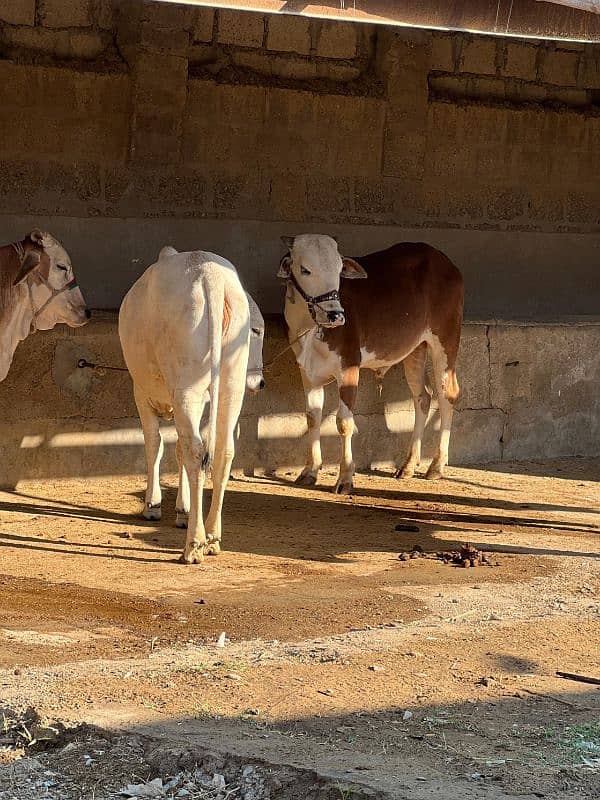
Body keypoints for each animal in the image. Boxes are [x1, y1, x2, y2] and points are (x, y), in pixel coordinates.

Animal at [278, 233, 466, 494]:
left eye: (339, 270)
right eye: (305, 269)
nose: (336, 315)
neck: (309, 327)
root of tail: (444, 261)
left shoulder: (349, 365)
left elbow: (344, 423)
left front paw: (345, 478)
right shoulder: (307, 371)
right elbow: (312, 418)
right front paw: (309, 471)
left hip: (446, 340)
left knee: (447, 394)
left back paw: (436, 466)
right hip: (415, 349)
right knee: (423, 398)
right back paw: (408, 465)